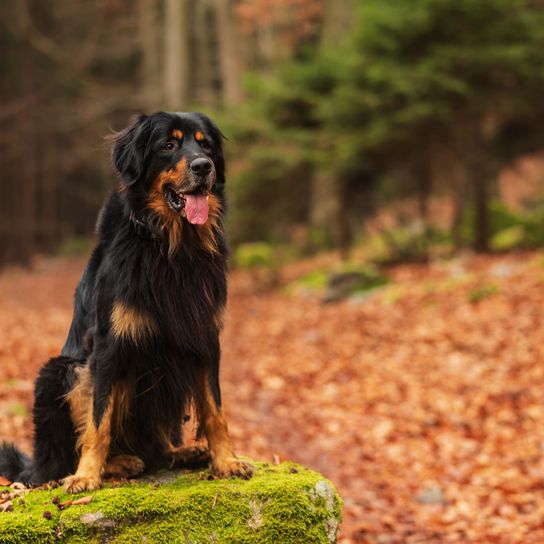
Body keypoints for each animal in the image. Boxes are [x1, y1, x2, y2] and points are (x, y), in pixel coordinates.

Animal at [0, 111, 255, 492]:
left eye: (206, 144)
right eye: (169, 145)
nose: (203, 166)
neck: (170, 247)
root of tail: (37, 466)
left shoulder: (205, 340)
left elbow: (215, 409)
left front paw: (226, 461)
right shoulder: (109, 348)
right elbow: (98, 420)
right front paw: (87, 475)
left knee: (159, 449)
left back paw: (180, 453)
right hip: (59, 371)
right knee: (65, 458)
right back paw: (117, 463)